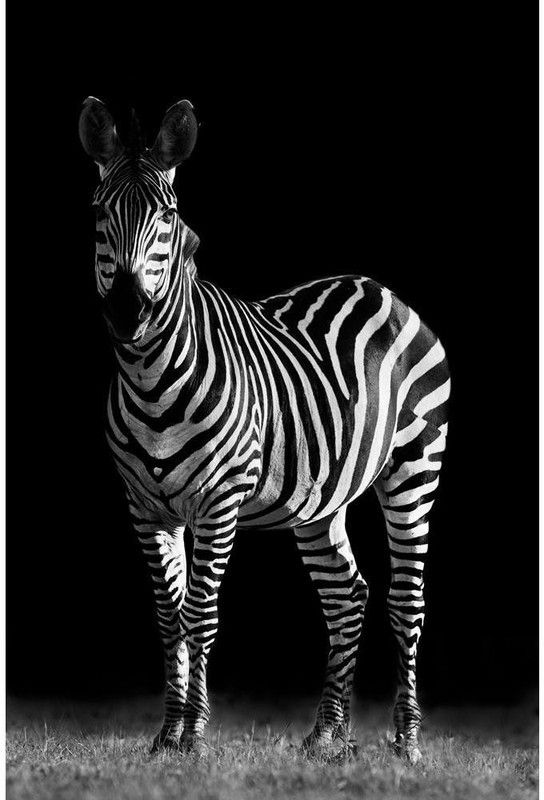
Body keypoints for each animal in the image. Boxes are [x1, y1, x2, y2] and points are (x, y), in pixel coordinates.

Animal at [78, 96, 450, 763]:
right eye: (99, 214)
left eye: (168, 216)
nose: (127, 309)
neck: (149, 375)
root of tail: (379, 287)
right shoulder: (145, 509)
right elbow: (168, 619)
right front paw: (166, 735)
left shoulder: (219, 501)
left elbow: (200, 615)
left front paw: (194, 737)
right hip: (319, 501)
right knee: (347, 597)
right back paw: (328, 735)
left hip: (416, 467)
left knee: (406, 601)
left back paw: (406, 744)